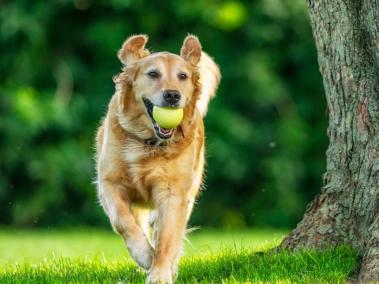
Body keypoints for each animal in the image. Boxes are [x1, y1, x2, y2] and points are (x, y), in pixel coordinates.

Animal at [96, 34, 221, 282]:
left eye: (182, 76)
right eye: (153, 74)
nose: (172, 95)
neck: (148, 143)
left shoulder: (174, 194)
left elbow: (167, 237)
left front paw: (160, 273)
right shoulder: (109, 182)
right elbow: (123, 221)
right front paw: (144, 255)